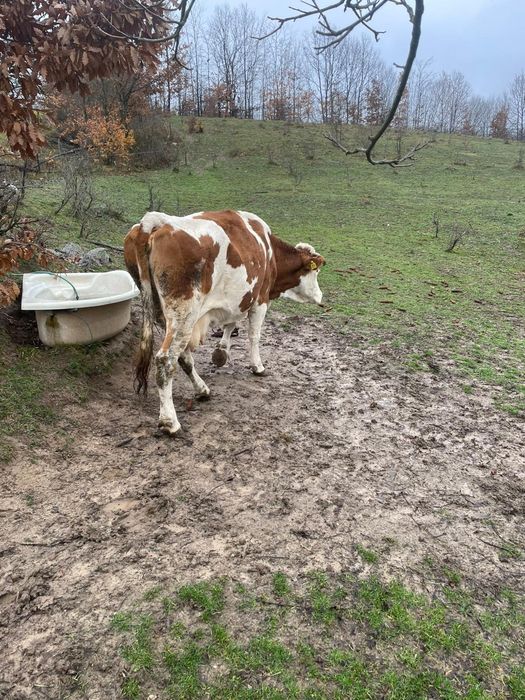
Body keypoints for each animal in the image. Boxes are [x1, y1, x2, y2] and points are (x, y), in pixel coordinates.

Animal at [124, 209, 325, 435]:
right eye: (316, 271)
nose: (321, 296)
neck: (270, 251)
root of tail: (153, 221)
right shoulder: (260, 298)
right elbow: (254, 335)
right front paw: (257, 366)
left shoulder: (239, 299)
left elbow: (230, 323)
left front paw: (221, 351)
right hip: (184, 313)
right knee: (166, 359)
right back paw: (170, 421)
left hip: (165, 313)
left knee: (182, 356)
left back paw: (201, 389)